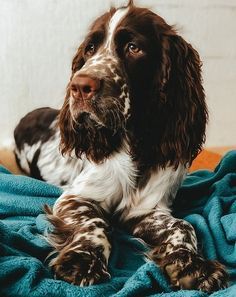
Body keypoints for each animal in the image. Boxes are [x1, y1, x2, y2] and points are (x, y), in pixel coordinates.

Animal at [13, 0, 228, 292]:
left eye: (133, 48)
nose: (79, 86)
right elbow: (95, 222)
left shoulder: (146, 210)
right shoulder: (76, 197)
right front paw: (83, 261)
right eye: (90, 49)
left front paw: (193, 265)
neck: (133, 143)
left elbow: (184, 226)